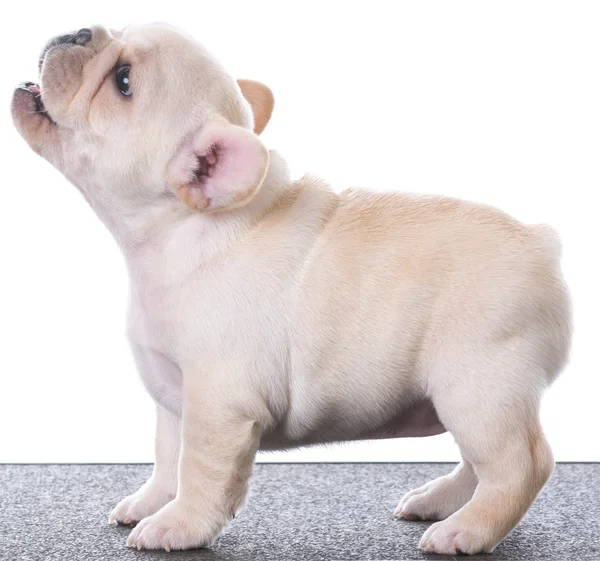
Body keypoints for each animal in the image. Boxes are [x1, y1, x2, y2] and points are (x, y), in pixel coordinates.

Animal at [11, 23, 568, 556]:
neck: (180, 232)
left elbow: (199, 469)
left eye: (122, 82)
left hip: (477, 384)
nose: (80, 32)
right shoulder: (173, 396)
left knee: (519, 464)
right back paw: (441, 502)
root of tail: (540, 242)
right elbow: (168, 455)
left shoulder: (219, 406)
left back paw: (467, 530)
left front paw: (178, 524)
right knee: (479, 463)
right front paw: (152, 502)